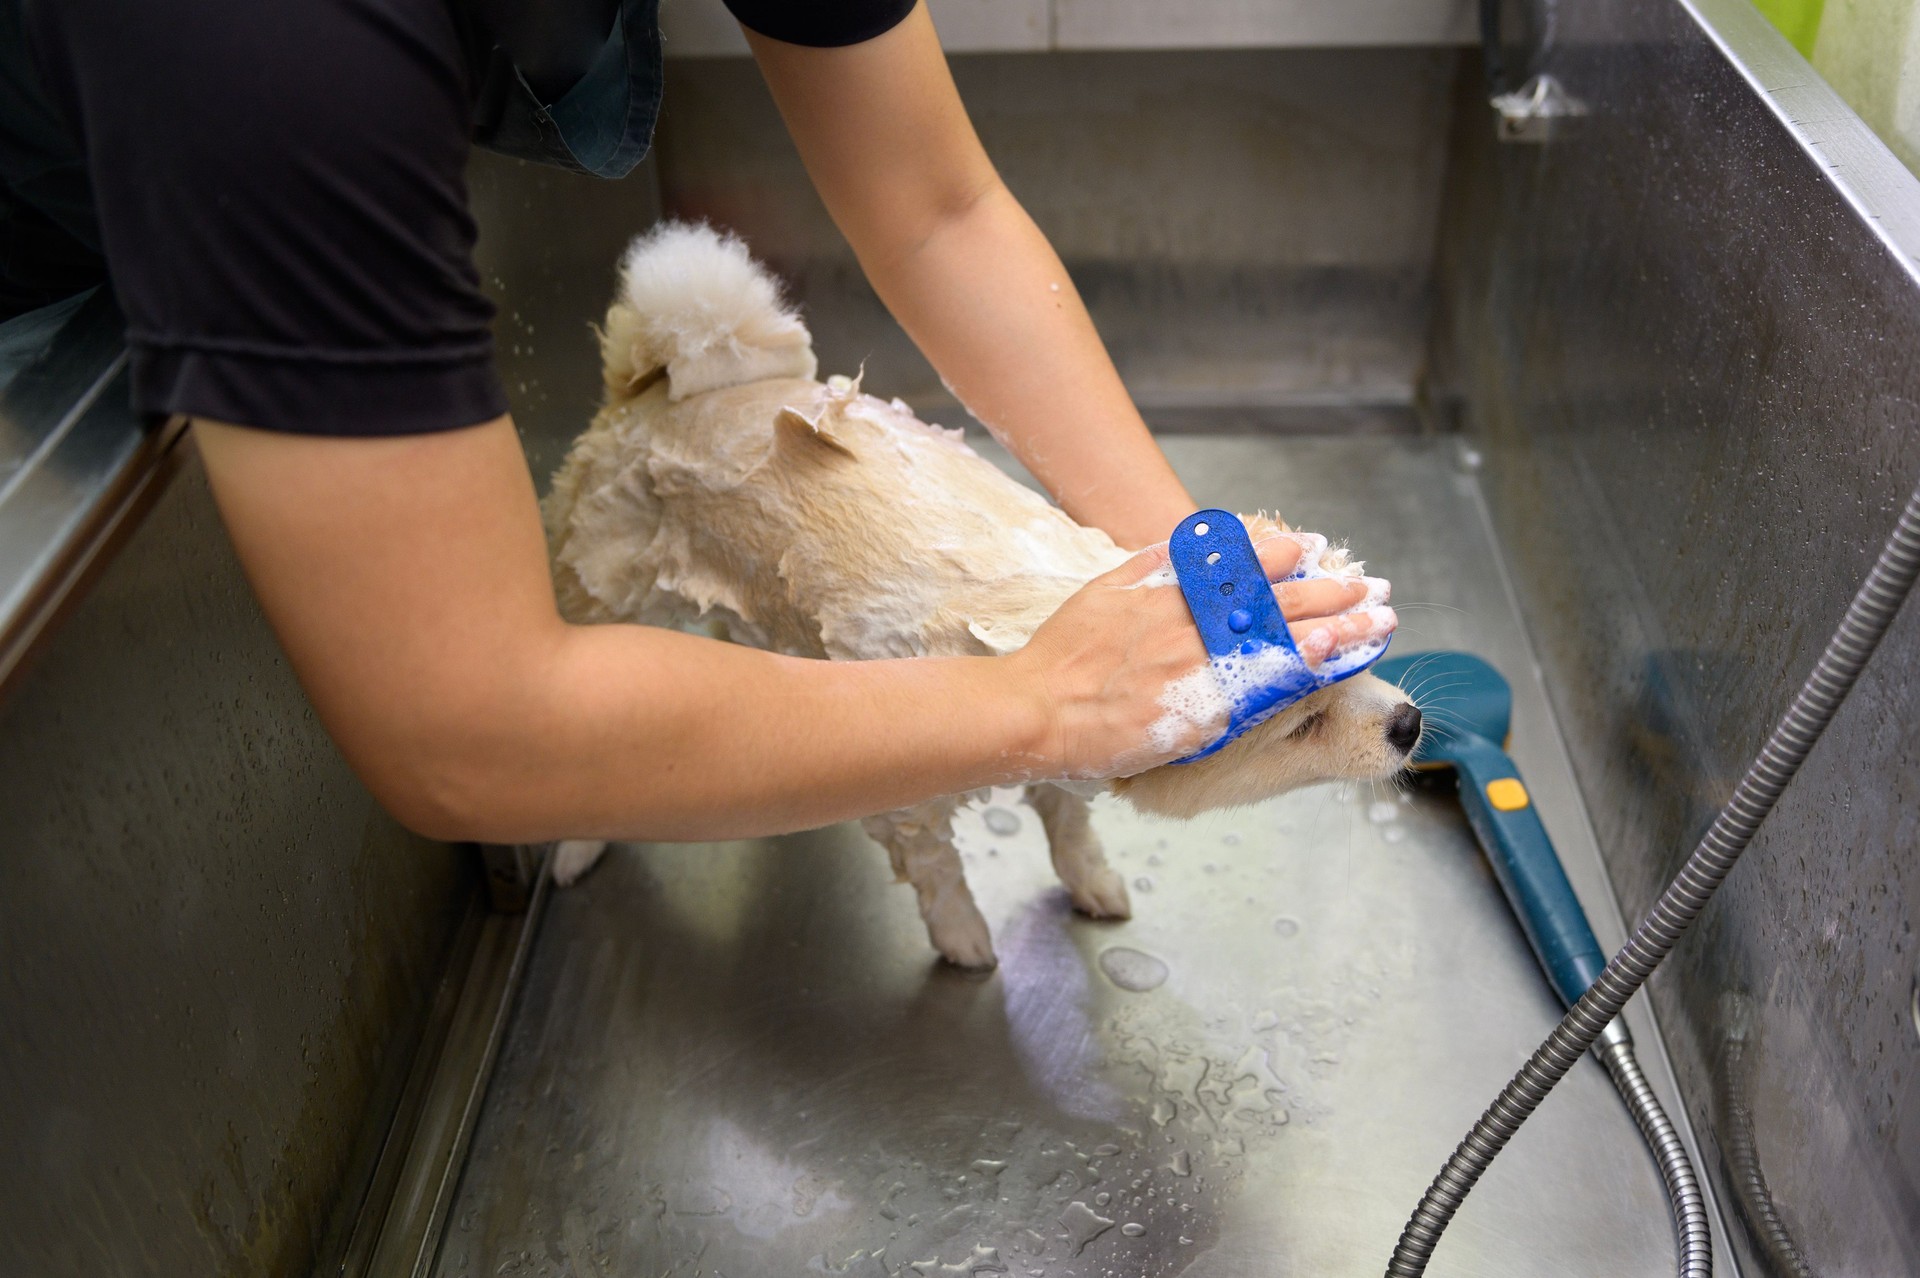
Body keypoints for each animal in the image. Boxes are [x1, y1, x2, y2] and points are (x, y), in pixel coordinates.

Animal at [533, 221, 1420, 967]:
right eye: (1304, 725)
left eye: (1368, 664)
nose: (1410, 724)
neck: (1052, 617)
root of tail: (657, 387)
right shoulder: (911, 799)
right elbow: (937, 870)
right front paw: (961, 936)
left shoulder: (1067, 754)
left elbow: (1069, 825)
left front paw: (1089, 878)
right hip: (604, 597)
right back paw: (575, 844)